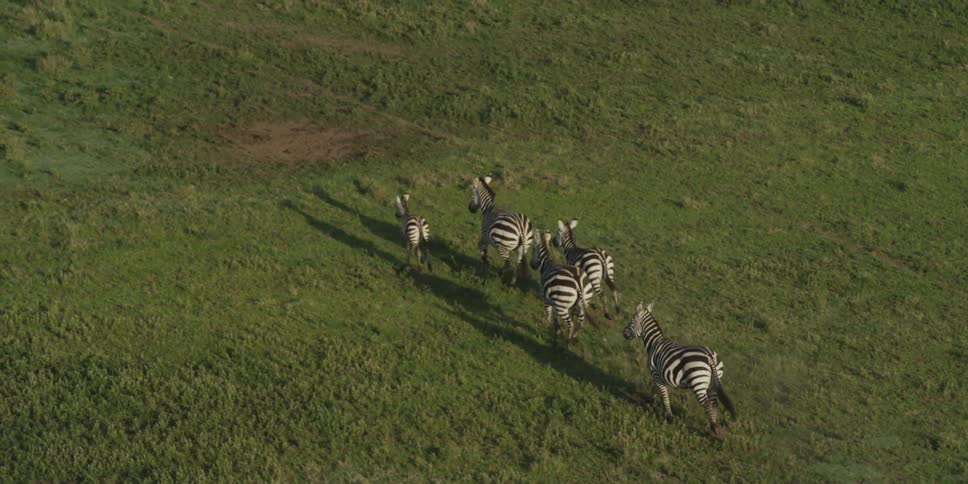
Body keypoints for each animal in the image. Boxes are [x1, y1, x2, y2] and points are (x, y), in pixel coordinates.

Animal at [624, 302, 736, 437]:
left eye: (632, 320)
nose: (623, 333)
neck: (654, 342)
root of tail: (709, 356)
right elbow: (662, 394)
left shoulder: (656, 374)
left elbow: (664, 395)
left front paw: (669, 417)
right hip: (712, 382)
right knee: (714, 404)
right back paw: (714, 427)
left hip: (698, 382)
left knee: (708, 404)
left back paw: (713, 429)